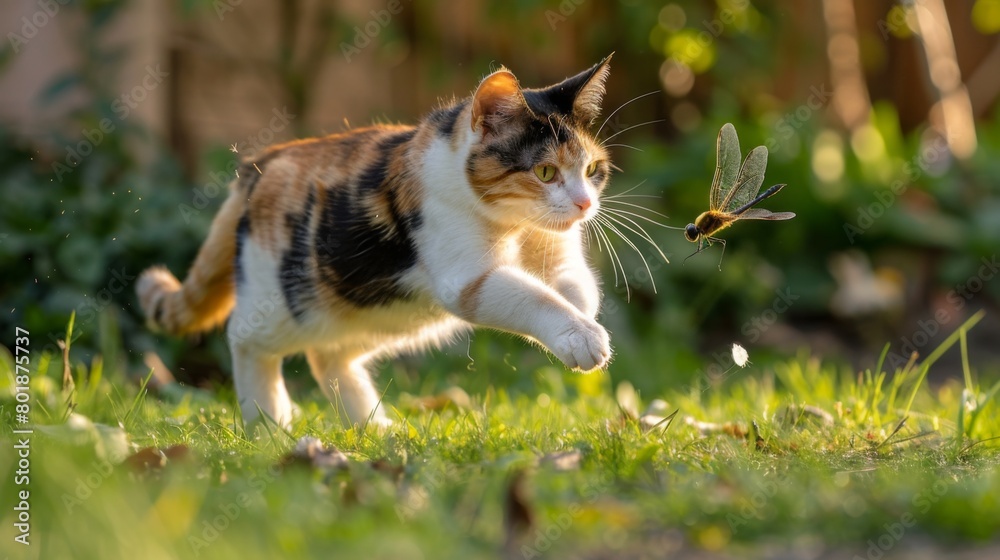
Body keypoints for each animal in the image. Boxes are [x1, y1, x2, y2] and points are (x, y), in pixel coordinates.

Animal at [137, 54, 612, 426]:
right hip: (285, 299)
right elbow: (534, 296)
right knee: (244, 337)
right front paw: (582, 336)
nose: (585, 204)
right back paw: (270, 424)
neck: (514, 226)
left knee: (329, 355)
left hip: (385, 310)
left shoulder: (557, 252)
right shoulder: (468, 277)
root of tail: (258, 165)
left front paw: (583, 317)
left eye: (592, 170)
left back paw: (374, 430)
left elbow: (575, 285)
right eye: (546, 172)